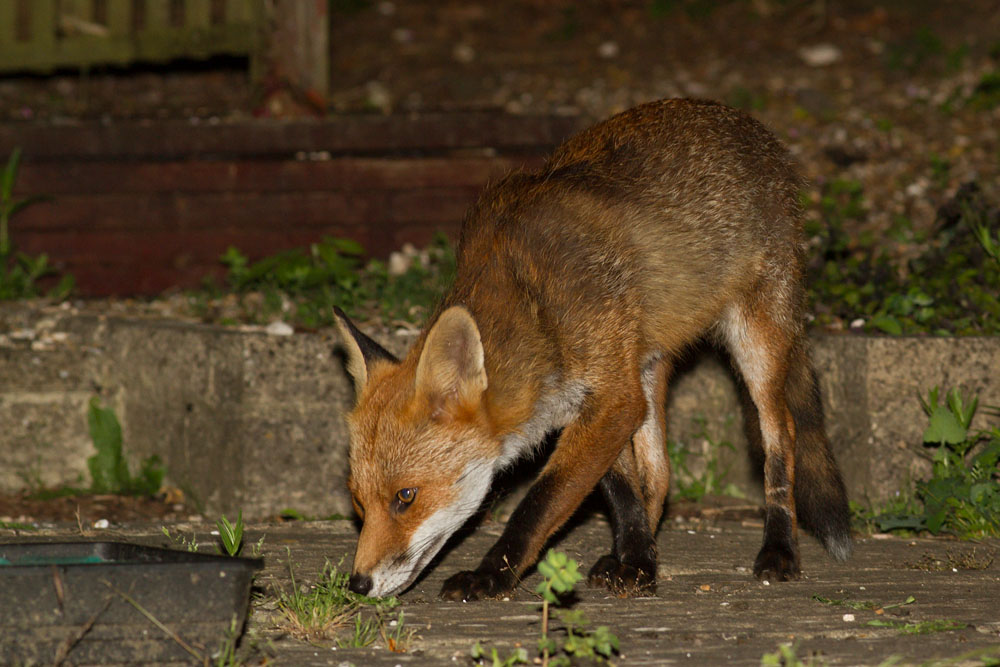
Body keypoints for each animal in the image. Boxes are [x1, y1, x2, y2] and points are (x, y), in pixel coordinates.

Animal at [334, 98, 852, 601]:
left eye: (405, 497)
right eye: (358, 501)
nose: (358, 585)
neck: (534, 305)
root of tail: (751, 126)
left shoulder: (612, 396)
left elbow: (541, 501)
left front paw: (491, 576)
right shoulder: (601, 400)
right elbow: (622, 490)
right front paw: (638, 562)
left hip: (755, 343)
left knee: (780, 438)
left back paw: (780, 549)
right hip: (646, 368)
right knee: (660, 473)